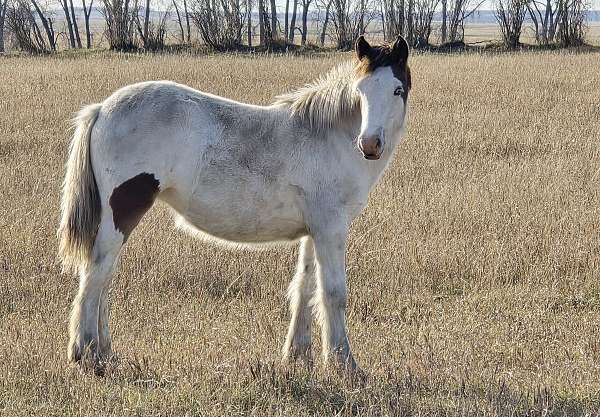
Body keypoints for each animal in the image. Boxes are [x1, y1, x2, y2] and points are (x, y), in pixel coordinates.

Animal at [57, 36, 412, 370]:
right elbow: (334, 293)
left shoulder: (315, 230)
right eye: (360, 90)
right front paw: (345, 365)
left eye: (397, 90)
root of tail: (102, 108)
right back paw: (87, 353)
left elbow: (305, 286)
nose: (369, 144)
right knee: (96, 273)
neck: (329, 137)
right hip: (122, 213)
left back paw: (105, 352)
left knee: (104, 276)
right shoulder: (331, 229)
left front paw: (297, 356)